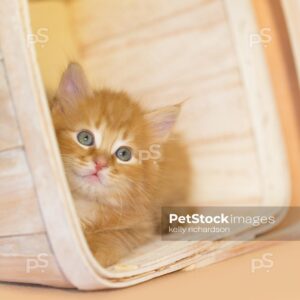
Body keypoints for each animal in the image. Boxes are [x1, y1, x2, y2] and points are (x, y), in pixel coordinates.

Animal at [51, 62, 191, 266]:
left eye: (124, 154)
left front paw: (93, 251)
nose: (100, 164)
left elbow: (112, 236)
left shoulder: (140, 226)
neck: (85, 203)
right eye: (85, 138)